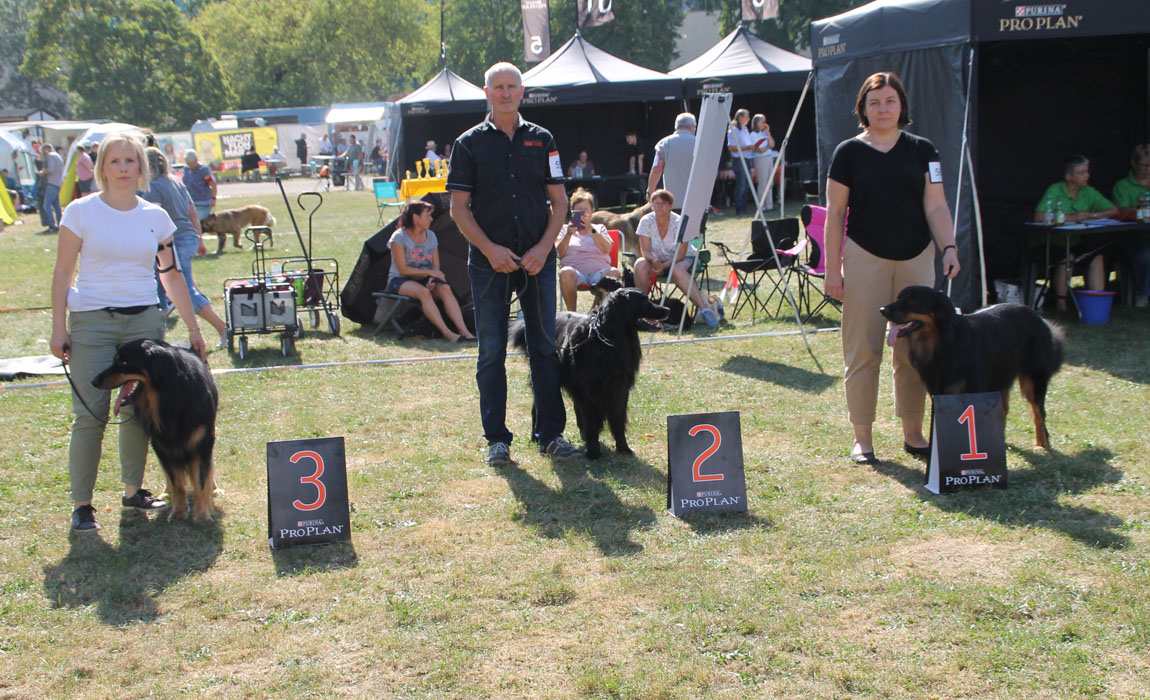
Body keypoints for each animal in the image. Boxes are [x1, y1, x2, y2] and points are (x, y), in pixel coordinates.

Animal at [90, 337, 218, 519]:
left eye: (123, 362)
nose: (93, 381)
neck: (168, 397)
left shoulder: (202, 441)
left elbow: (200, 479)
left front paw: (201, 515)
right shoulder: (161, 445)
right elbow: (176, 481)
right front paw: (179, 512)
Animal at [510, 285, 671, 455]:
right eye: (643, 300)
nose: (667, 309)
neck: (610, 340)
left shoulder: (620, 390)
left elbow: (618, 421)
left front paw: (623, 447)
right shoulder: (589, 390)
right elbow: (592, 421)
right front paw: (593, 450)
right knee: (538, 409)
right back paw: (536, 438)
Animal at [883, 283, 1062, 448]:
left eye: (912, 301)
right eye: (899, 297)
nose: (882, 309)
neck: (942, 343)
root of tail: (1039, 318)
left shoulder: (973, 391)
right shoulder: (937, 393)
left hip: (1032, 379)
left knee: (1039, 411)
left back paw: (1042, 443)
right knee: (1004, 409)